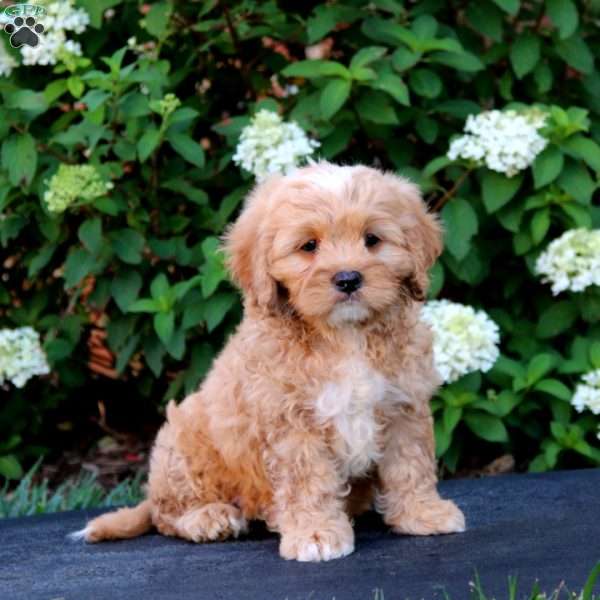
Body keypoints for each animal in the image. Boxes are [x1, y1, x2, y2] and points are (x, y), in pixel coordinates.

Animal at [75, 162, 466, 560]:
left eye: (372, 240)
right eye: (309, 246)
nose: (348, 278)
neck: (344, 336)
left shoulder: (404, 405)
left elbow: (410, 464)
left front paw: (422, 513)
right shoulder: (292, 422)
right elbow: (308, 481)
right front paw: (315, 533)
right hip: (183, 445)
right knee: (166, 512)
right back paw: (208, 517)